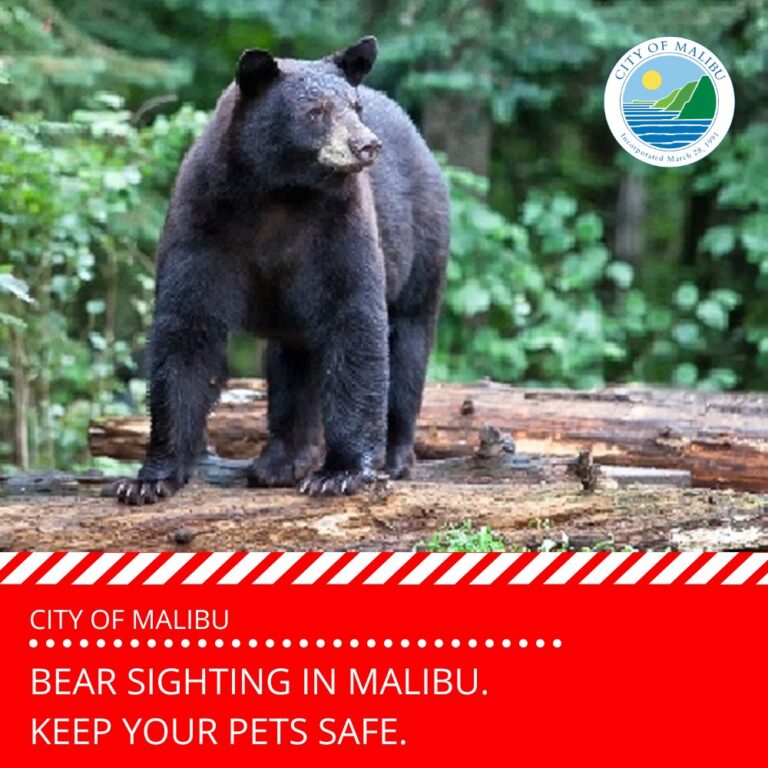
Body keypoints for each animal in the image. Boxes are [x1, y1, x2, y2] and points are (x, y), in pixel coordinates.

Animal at [115, 36, 449, 504]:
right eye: (316, 111)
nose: (366, 145)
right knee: (291, 363)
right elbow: (186, 329)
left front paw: (341, 473)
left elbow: (354, 321)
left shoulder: (339, 227)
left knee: (407, 344)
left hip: (422, 247)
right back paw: (281, 461)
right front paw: (149, 479)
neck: (280, 194)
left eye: (355, 106)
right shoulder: (204, 222)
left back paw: (392, 456)